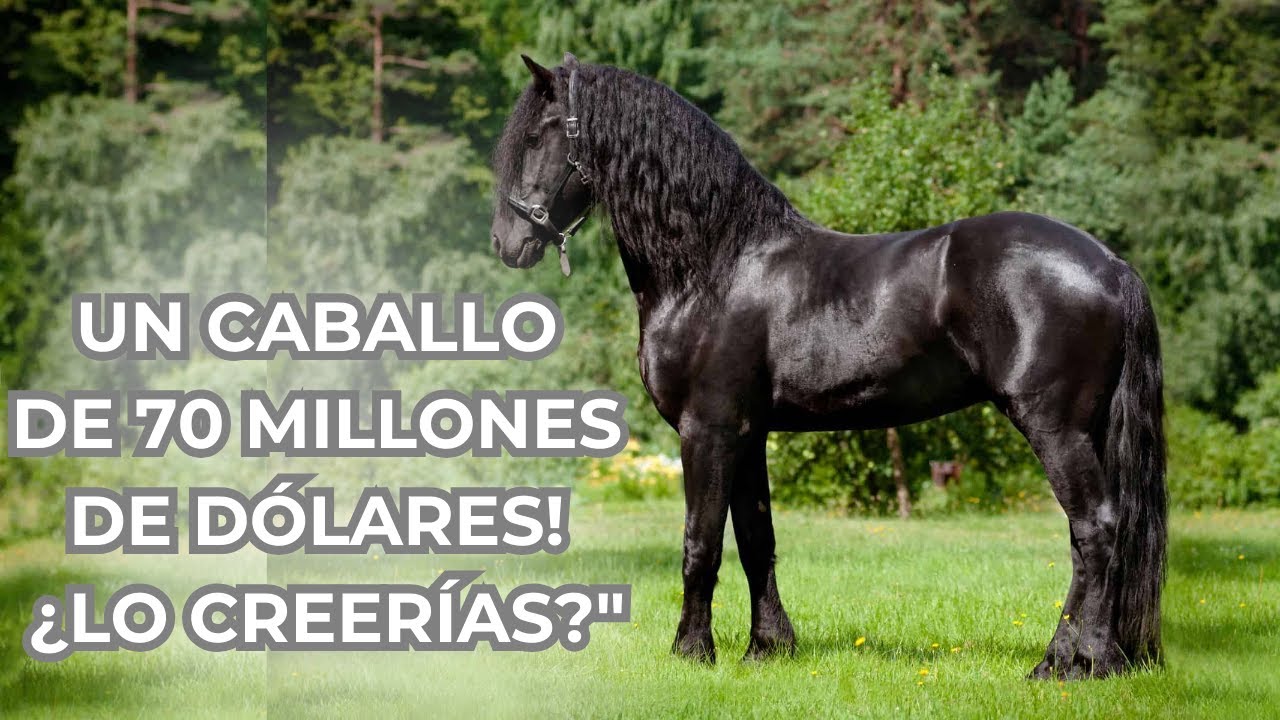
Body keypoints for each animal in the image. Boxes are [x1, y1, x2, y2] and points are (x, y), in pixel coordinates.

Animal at [489, 53, 1166, 679]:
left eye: (536, 135)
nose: (505, 243)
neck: (714, 265)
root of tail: (1110, 265)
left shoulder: (706, 430)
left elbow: (699, 544)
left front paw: (691, 651)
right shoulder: (747, 434)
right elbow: (755, 540)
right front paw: (767, 648)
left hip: (1055, 427)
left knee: (1096, 529)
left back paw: (1078, 661)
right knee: (1094, 534)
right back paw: (1075, 660)